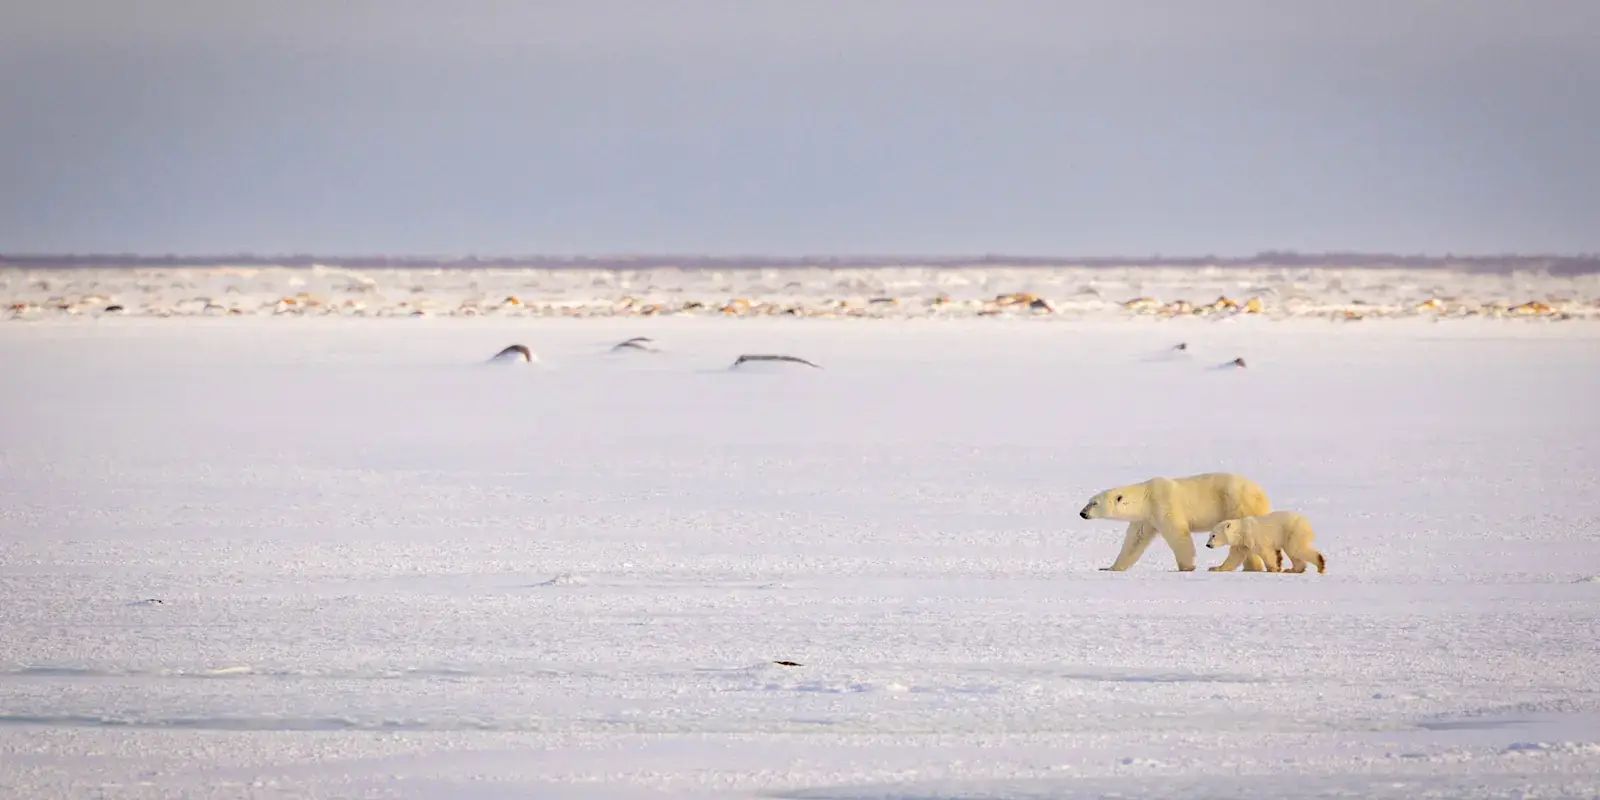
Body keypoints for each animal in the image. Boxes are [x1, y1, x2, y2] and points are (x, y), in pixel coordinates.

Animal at [1078, 472, 1274, 572]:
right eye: (1089, 501)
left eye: (1094, 503)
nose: (1082, 513)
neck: (1146, 497)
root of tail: (1263, 494)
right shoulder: (1146, 518)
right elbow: (1134, 541)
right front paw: (1110, 568)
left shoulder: (1164, 503)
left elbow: (1178, 534)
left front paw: (1186, 567)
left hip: (1239, 503)